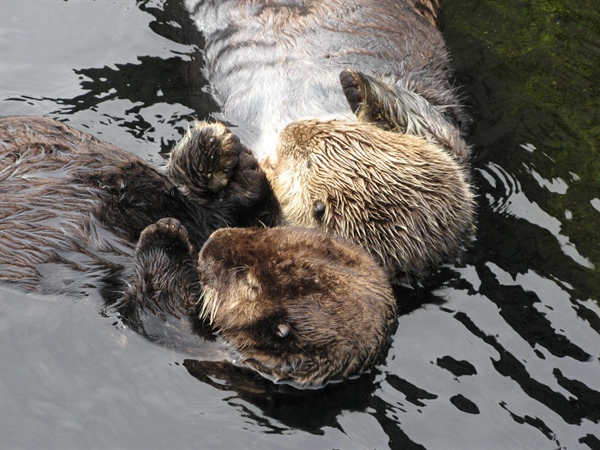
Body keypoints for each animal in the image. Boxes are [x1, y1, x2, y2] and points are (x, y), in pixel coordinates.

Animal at [1, 115, 398, 386]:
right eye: (270, 238)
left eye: (247, 280)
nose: (210, 244)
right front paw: (224, 155)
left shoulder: (188, 342)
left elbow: (151, 309)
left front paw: (165, 233)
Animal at [185, 0, 476, 282]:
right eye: (346, 128)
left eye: (306, 161)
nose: (292, 128)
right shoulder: (451, 142)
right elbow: (436, 130)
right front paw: (359, 88)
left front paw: (243, 177)